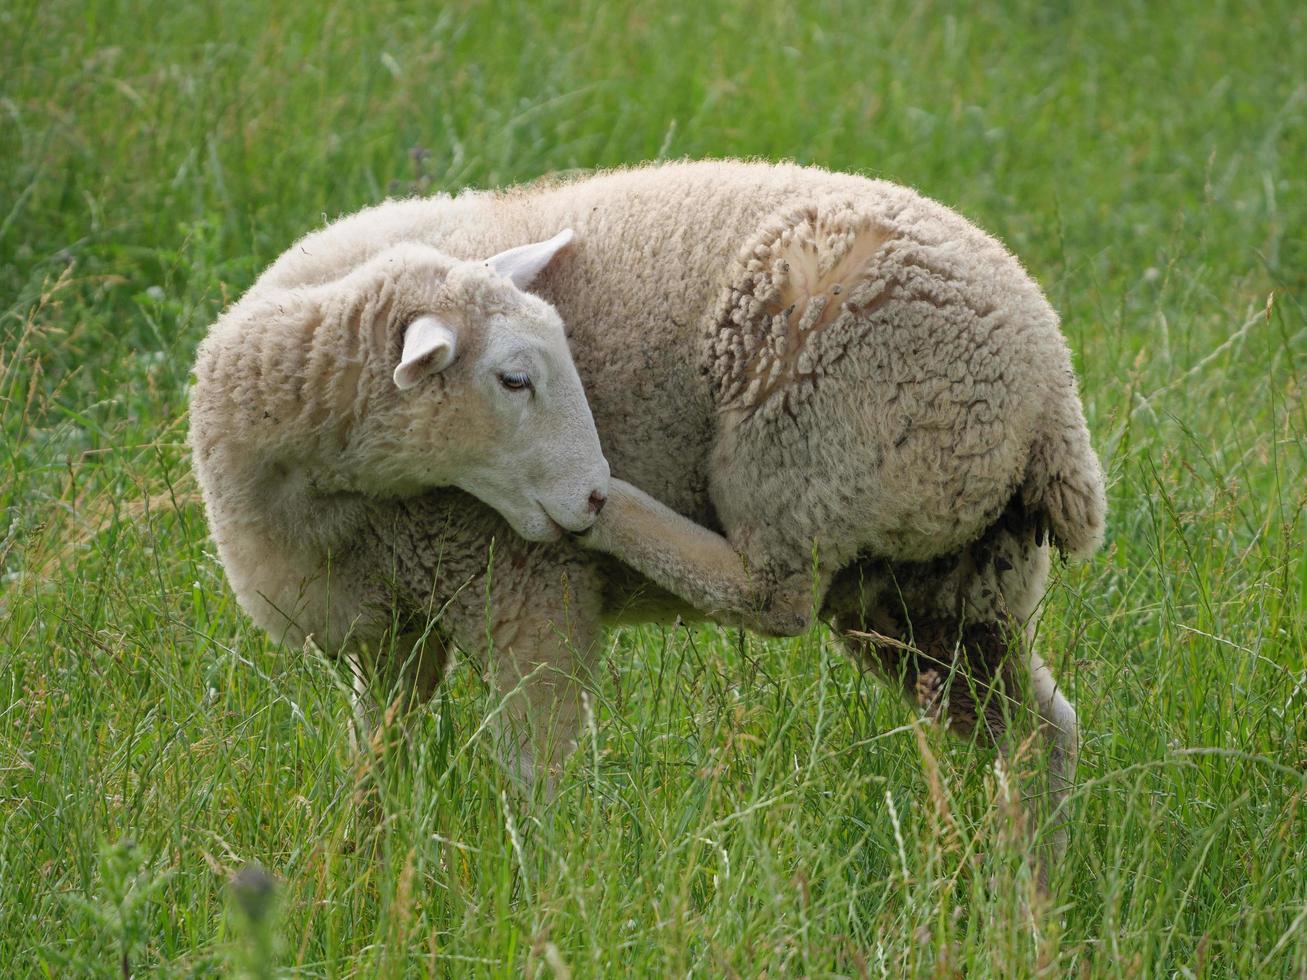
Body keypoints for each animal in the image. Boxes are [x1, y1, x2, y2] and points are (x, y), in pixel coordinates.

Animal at [190, 159, 1103, 851]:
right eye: (514, 379)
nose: (587, 483)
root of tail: (1048, 396)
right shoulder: (389, 635)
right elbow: (374, 758)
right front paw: (354, 866)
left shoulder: (520, 592)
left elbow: (534, 773)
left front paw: (538, 888)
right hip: (938, 588)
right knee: (1036, 734)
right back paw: (1029, 898)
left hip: (806, 438)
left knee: (769, 595)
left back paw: (623, 517)